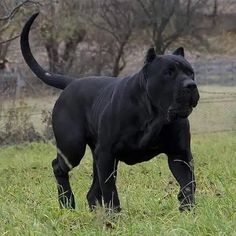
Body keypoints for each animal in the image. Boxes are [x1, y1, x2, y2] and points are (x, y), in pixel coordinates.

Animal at [21, 12, 200, 212]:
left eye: (190, 72)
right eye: (168, 73)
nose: (191, 85)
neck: (154, 115)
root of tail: (71, 83)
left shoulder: (179, 154)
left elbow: (188, 183)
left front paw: (187, 208)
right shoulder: (107, 154)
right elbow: (110, 189)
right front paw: (114, 214)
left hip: (94, 155)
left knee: (92, 191)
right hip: (73, 147)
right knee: (58, 167)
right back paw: (67, 203)